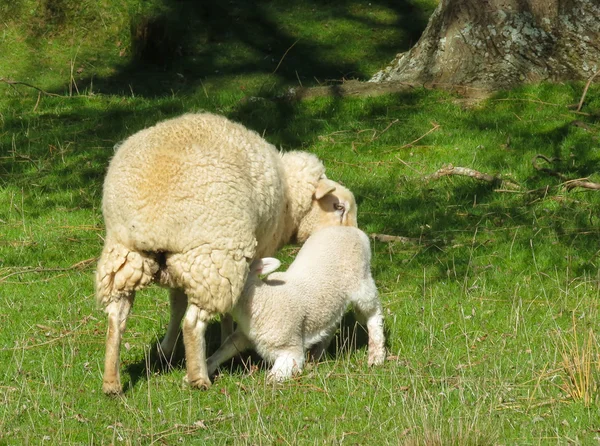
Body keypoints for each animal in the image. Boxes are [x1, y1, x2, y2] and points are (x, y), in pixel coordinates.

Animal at [96, 111, 358, 394]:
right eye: (339, 207)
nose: (353, 236)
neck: (289, 200)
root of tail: (148, 220)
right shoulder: (240, 257)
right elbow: (227, 308)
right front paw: (226, 338)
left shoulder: (181, 264)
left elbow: (176, 304)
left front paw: (166, 349)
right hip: (217, 255)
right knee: (193, 322)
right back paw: (199, 377)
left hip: (126, 256)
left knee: (116, 318)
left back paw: (111, 382)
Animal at [205, 225, 384, 382]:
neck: (263, 301)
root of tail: (351, 229)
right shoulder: (243, 334)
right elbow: (224, 348)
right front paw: (205, 368)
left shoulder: (290, 349)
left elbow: (272, 379)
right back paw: (317, 353)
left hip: (361, 280)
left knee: (374, 312)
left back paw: (377, 355)